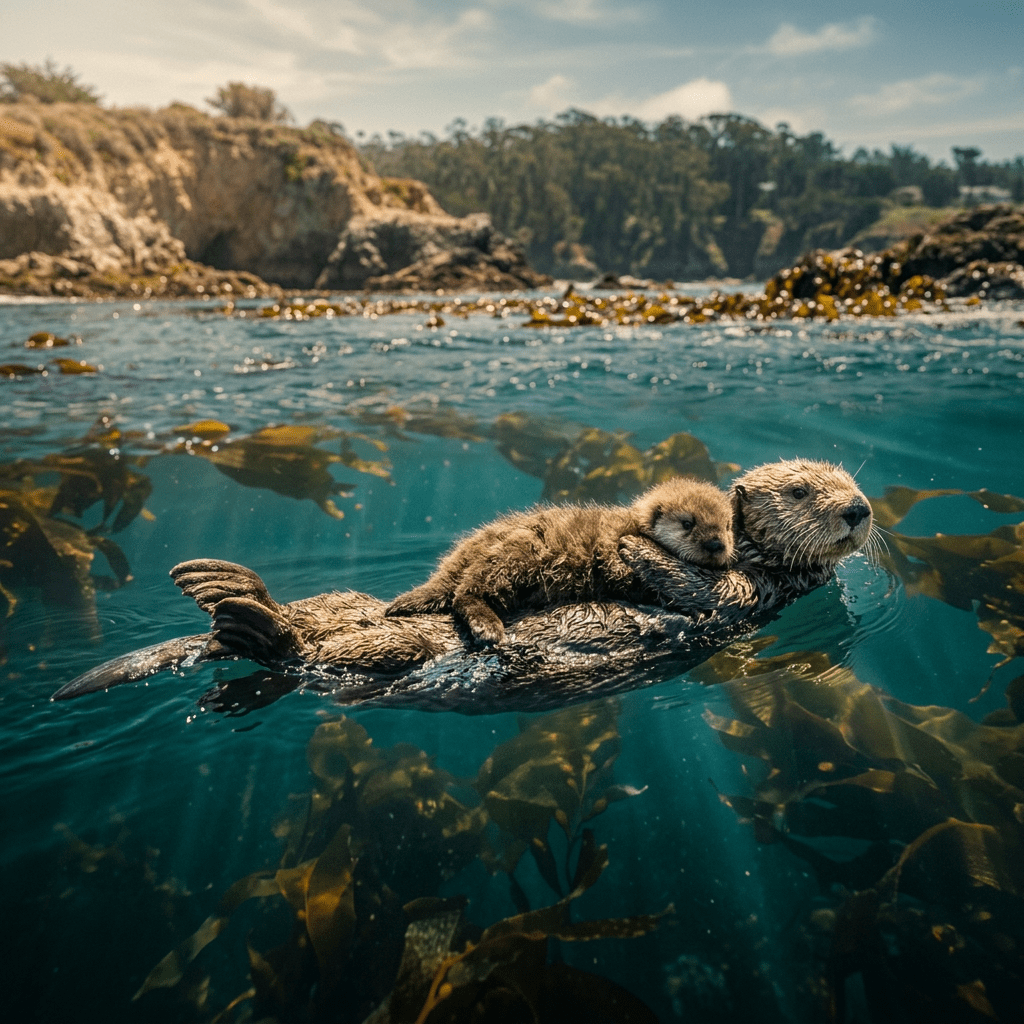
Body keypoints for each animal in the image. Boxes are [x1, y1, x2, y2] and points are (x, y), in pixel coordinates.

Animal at [385, 478, 734, 645]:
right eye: (688, 523)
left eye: (728, 525)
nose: (717, 544)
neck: (633, 527)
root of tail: (455, 564)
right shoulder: (614, 546)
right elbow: (627, 577)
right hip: (513, 554)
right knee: (466, 594)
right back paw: (487, 626)